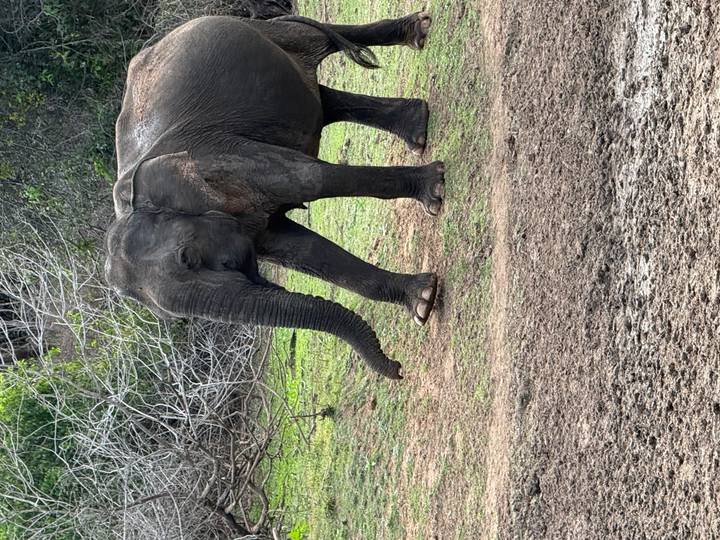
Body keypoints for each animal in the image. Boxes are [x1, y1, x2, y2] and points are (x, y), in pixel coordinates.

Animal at [105, 12, 445, 380]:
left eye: (188, 258)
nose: (399, 369)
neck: (132, 204)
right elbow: (303, 251)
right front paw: (423, 301)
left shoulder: (224, 158)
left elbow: (311, 180)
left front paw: (435, 189)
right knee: (326, 103)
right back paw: (417, 128)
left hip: (269, 33)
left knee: (315, 42)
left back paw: (418, 32)